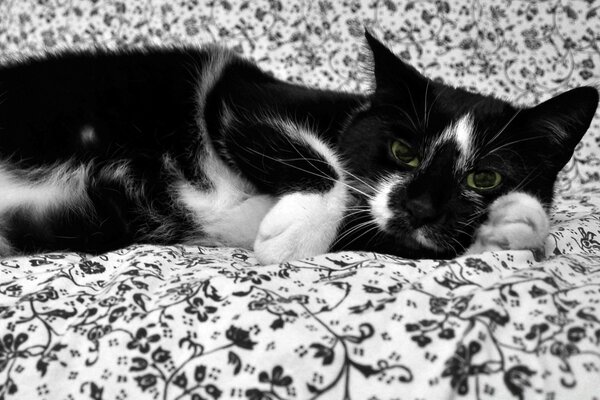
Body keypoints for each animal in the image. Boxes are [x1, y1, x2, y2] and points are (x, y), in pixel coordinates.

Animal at [0, 32, 596, 264]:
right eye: (403, 151)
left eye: (485, 177)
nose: (420, 206)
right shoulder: (235, 91)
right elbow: (323, 164)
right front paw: (295, 233)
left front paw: (513, 224)